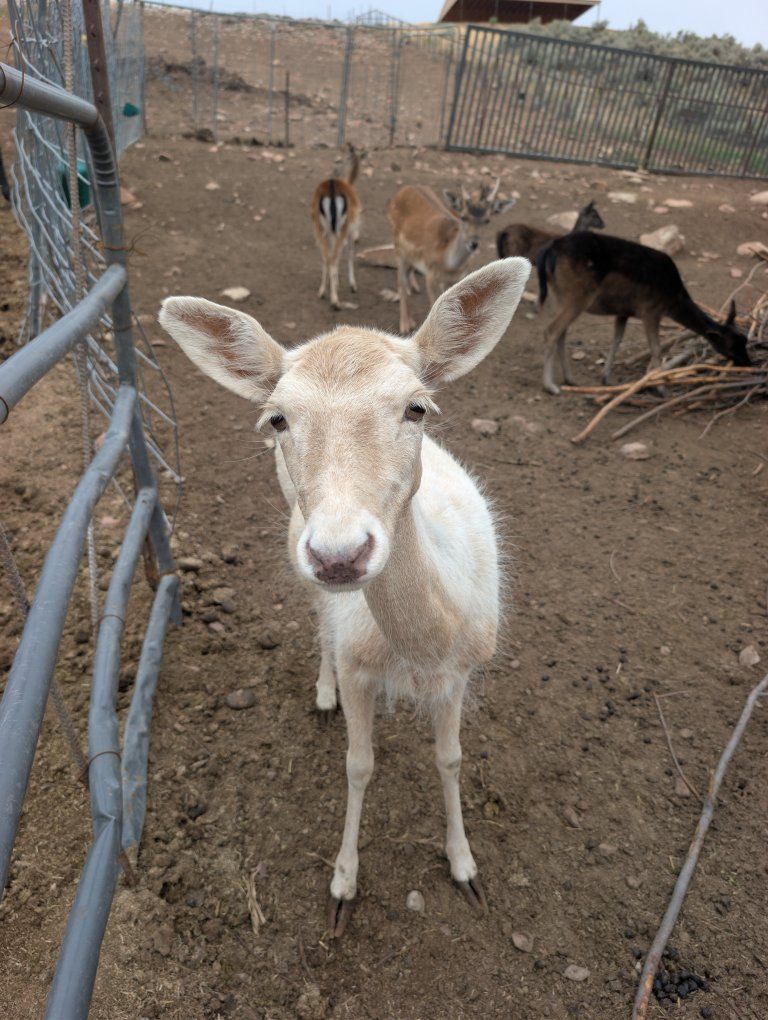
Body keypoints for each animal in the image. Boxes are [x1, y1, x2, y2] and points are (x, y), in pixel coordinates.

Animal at [159, 255, 531, 938]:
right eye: (277, 418)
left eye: (418, 407)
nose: (340, 554)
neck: (421, 648)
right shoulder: (360, 663)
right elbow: (359, 764)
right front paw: (342, 884)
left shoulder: (463, 670)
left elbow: (451, 758)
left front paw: (465, 868)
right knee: (319, 624)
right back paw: (323, 691)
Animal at [311, 143, 362, 310]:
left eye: (338, 159)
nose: (334, 170)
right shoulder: (352, 229)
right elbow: (350, 253)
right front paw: (352, 285)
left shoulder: (330, 231)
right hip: (343, 227)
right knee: (334, 256)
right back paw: (335, 300)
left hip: (319, 226)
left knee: (327, 255)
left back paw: (322, 292)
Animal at [388, 179, 514, 335]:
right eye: (463, 217)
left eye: (487, 220)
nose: (473, 243)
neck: (450, 266)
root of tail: (403, 190)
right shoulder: (431, 276)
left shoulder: (458, 277)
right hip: (397, 244)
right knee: (400, 280)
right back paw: (405, 324)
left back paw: (414, 287)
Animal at [536, 230, 751, 395]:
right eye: (733, 344)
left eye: (745, 339)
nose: (749, 362)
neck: (673, 299)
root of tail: (552, 247)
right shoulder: (650, 311)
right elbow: (656, 348)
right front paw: (661, 389)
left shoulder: (624, 312)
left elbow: (617, 340)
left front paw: (606, 379)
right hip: (576, 296)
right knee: (551, 331)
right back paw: (550, 387)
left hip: (562, 296)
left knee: (562, 332)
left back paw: (570, 379)